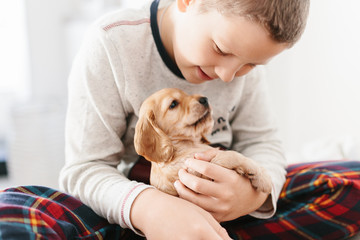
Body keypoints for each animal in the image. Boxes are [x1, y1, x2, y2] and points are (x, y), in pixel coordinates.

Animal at [135, 88, 272, 195]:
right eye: (173, 104)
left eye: (186, 94)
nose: (204, 99)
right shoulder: (200, 171)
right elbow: (232, 154)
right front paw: (263, 178)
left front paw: (261, 174)